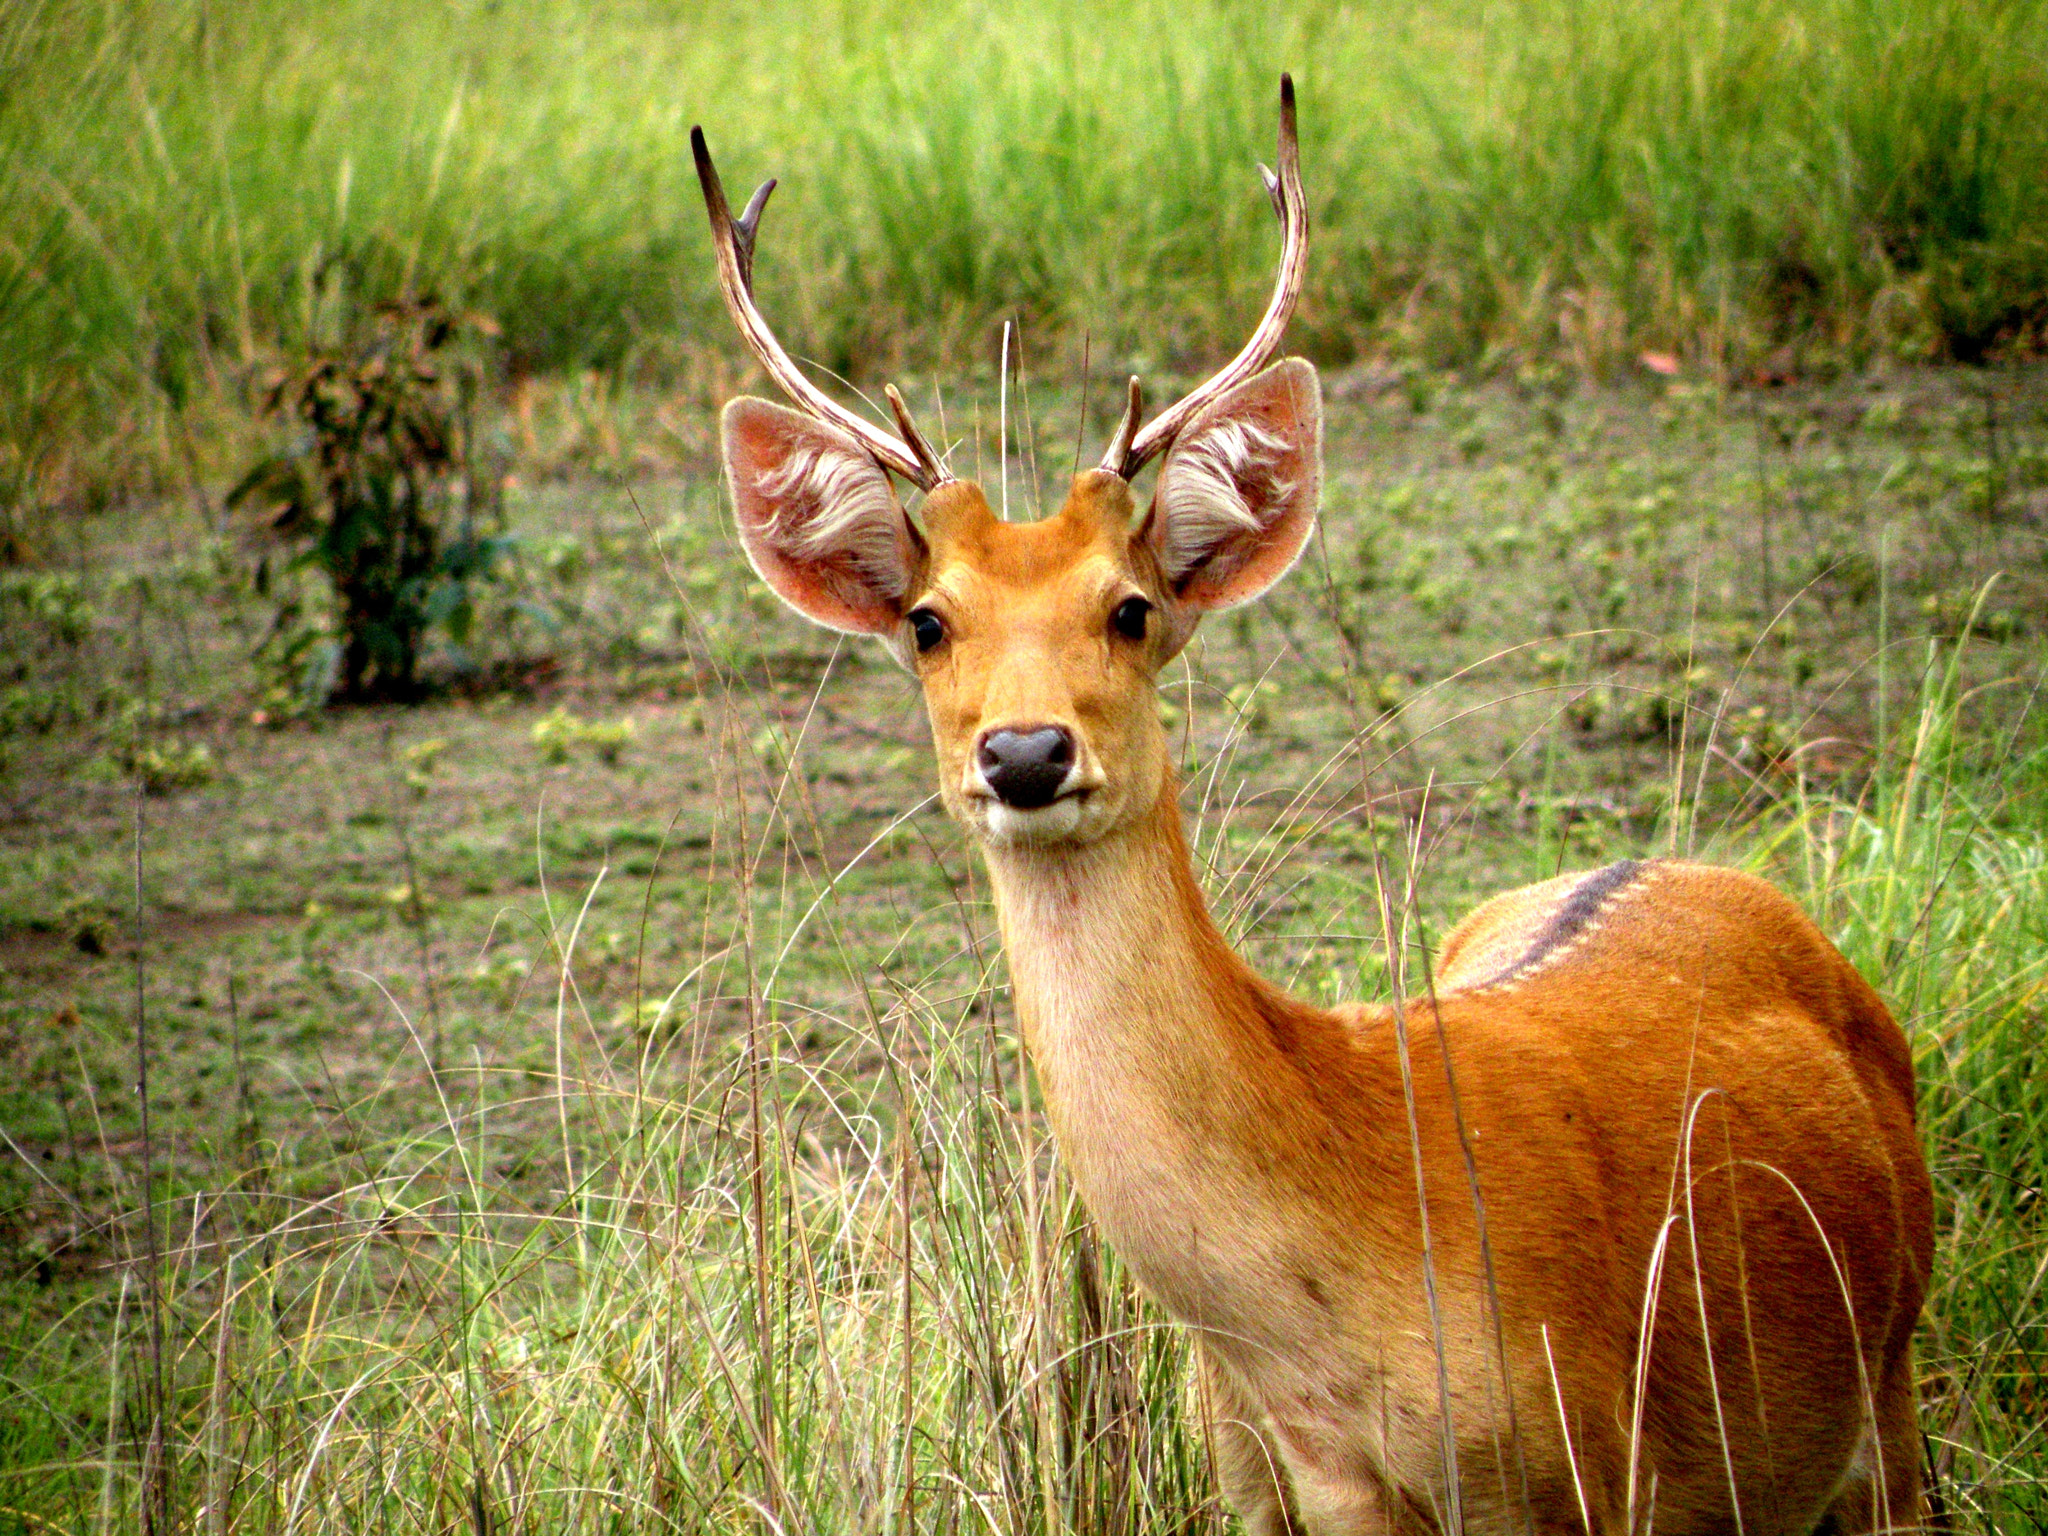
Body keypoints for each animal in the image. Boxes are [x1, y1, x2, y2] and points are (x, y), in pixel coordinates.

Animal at [692, 81, 1933, 1536]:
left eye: (1131, 606)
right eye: (931, 623)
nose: (1026, 752)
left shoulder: (1585, 1470)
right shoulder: (1264, 1483)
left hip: (1892, 1383)